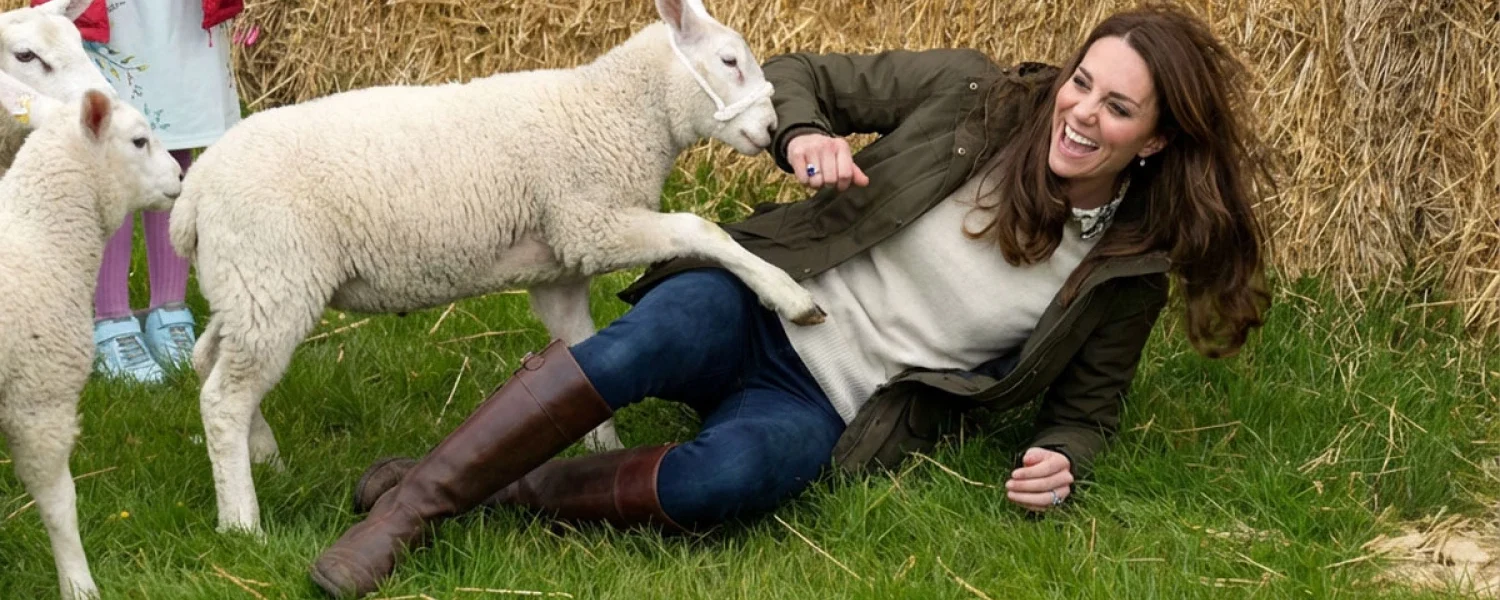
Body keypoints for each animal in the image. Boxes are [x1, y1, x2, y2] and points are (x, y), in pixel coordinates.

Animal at [0, 74, 184, 599]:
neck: (44, 239)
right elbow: (60, 504)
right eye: (139, 141)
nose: (180, 179)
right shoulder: (41, 400)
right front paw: (78, 583)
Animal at [170, 0, 825, 534]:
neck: (616, 109)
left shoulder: (562, 267)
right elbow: (700, 229)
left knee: (210, 364)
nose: (772, 129)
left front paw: (599, 449)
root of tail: (193, 194)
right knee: (223, 399)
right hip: (272, 276)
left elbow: (580, 351)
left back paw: (268, 461)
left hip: (245, 285)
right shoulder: (590, 221)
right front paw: (792, 298)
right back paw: (243, 521)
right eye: (729, 61)